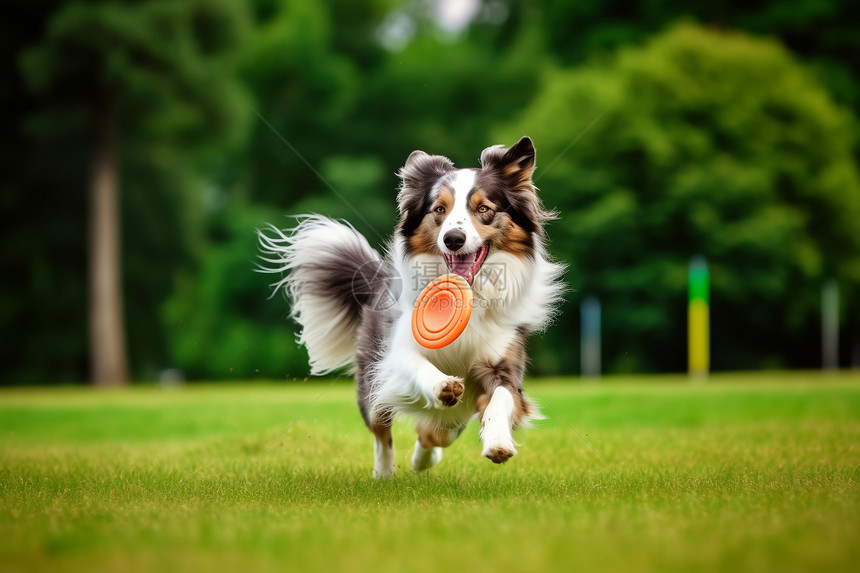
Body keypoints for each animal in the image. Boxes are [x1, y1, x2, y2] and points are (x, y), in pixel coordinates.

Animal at [255, 136, 564, 476]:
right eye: (439, 209)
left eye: (484, 209)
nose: (453, 238)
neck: (471, 295)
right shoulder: (395, 351)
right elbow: (417, 366)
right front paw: (442, 384)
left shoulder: (503, 363)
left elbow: (501, 399)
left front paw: (498, 443)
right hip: (370, 378)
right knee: (382, 428)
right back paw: (384, 473)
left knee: (440, 429)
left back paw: (424, 457)